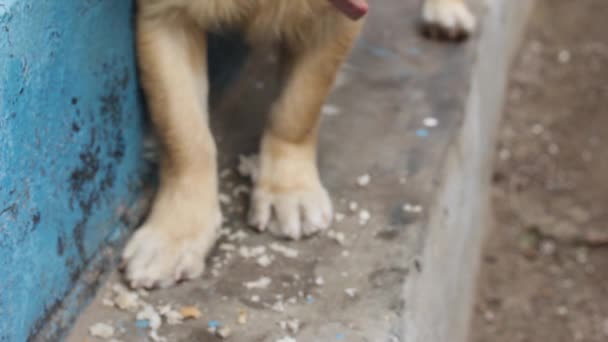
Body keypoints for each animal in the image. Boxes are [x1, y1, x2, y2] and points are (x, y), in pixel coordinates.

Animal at [122, 0, 476, 288]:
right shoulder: (165, 17)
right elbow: (185, 136)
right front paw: (176, 233)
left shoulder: (337, 19)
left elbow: (296, 109)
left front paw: (287, 189)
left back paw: (445, 11)